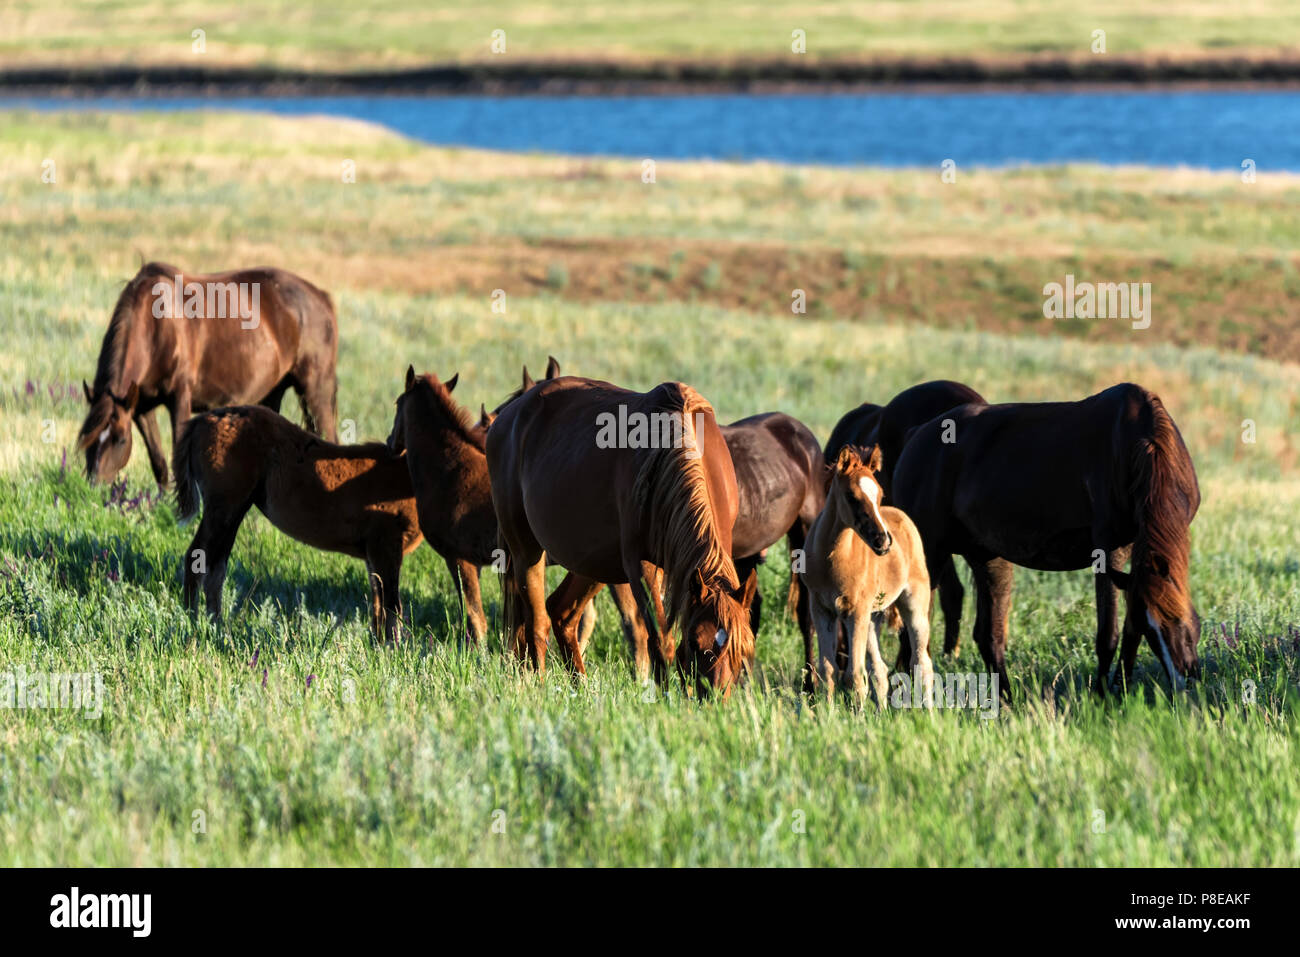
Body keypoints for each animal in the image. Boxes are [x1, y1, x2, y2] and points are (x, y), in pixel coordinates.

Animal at [78, 261, 338, 487]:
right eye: (87, 438)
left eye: (120, 439)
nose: (95, 486)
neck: (157, 329)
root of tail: (321, 297)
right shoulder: (140, 407)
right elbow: (159, 463)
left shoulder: (180, 398)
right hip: (272, 394)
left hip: (316, 391)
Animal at [173, 406, 421, 641]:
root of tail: (202, 420)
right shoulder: (385, 543)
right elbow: (391, 604)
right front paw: (392, 648)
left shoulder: (373, 551)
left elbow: (378, 601)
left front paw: (377, 644)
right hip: (224, 505)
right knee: (196, 558)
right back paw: (192, 623)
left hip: (234, 510)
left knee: (216, 568)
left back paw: (216, 626)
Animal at [487, 376, 757, 696]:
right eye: (695, 643)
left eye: (743, 649)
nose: (716, 698)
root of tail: (507, 416)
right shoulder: (641, 567)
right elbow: (660, 639)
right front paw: (666, 697)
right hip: (526, 550)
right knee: (536, 624)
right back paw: (540, 687)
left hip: (594, 564)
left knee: (562, 613)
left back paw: (581, 689)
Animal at [802, 445, 934, 706]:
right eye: (851, 497)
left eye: (880, 495)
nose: (883, 541)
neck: (832, 559)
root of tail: (902, 516)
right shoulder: (821, 608)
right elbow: (828, 670)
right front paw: (827, 712)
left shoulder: (856, 611)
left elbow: (854, 673)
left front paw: (858, 715)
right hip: (873, 616)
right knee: (880, 670)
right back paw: (883, 711)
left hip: (913, 603)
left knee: (921, 663)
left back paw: (930, 711)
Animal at [891, 382, 1201, 698]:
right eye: (1156, 632)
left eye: (1180, 622)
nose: (1185, 682)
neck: (1140, 446)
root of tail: (915, 435)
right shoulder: (1108, 551)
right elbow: (1109, 635)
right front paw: (1102, 695)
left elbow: (1129, 632)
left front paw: (1121, 688)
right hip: (931, 554)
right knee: (914, 630)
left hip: (987, 558)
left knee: (988, 636)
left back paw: (1005, 700)